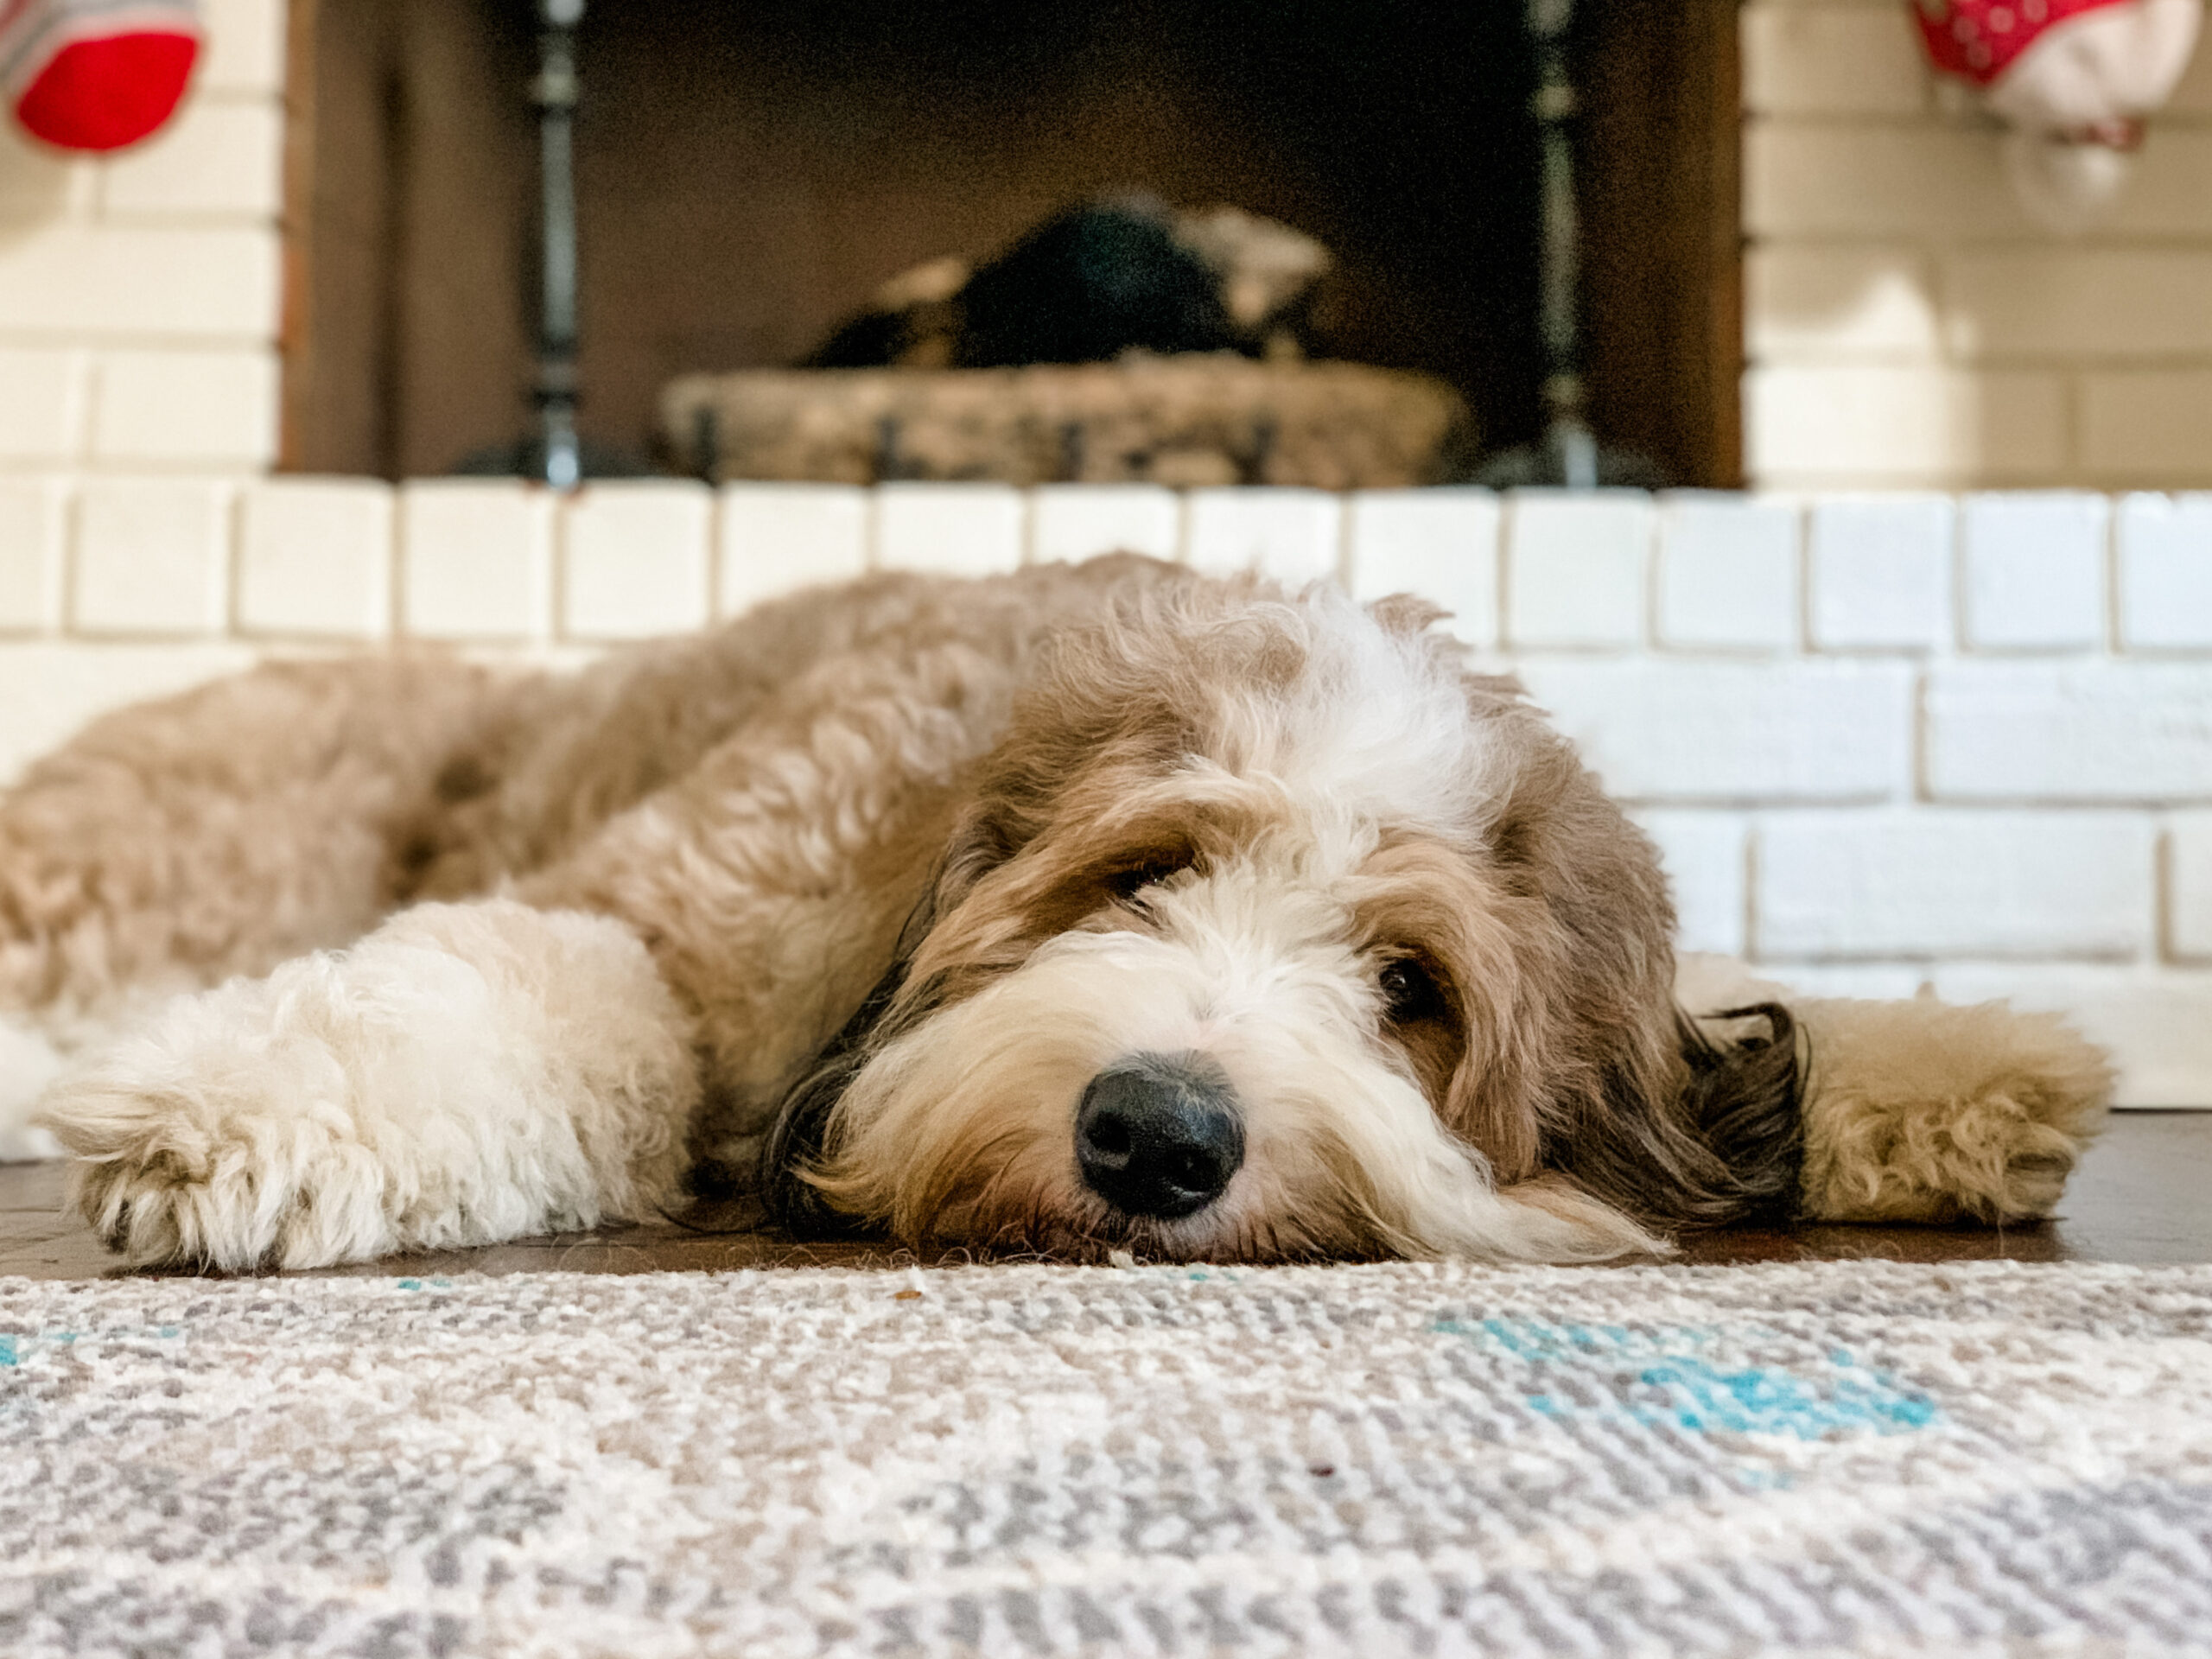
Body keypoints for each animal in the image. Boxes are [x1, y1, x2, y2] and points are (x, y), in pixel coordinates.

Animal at [0, 559, 2106, 1274]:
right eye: (1144, 870)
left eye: (1406, 984)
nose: (1159, 1139)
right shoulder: (665, 915)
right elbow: (508, 990)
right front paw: (238, 1118)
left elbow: (1750, 1024)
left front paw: (1972, 1073)